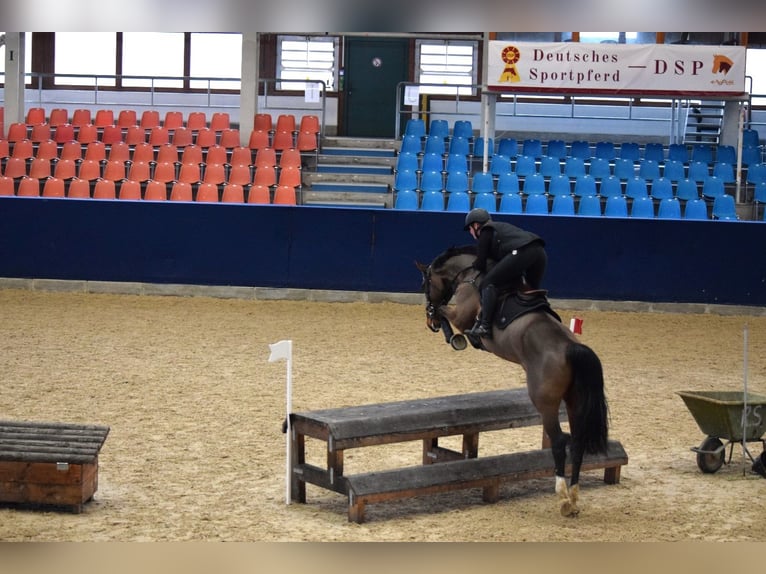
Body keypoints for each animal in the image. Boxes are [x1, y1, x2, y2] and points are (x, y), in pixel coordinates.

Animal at [415, 244, 609, 517]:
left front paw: (452, 337)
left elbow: (447, 314)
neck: (469, 275)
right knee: (578, 441)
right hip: (575, 401)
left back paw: (562, 495)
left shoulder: (461, 316)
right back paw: (573, 497)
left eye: (426, 283)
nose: (428, 321)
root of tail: (572, 348)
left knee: (560, 441)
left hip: (545, 402)